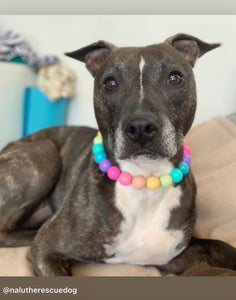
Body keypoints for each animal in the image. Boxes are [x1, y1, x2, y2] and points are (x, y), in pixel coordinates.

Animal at [0, 33, 236, 276]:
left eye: (174, 78)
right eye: (110, 83)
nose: (140, 127)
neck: (144, 180)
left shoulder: (171, 255)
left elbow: (218, 246)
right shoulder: (46, 248)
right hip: (45, 153)